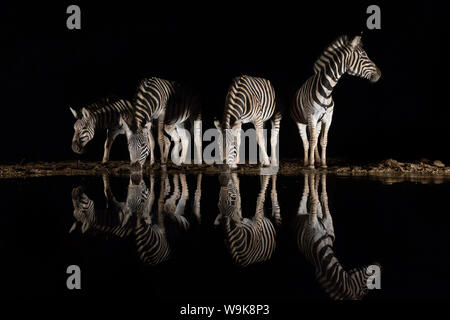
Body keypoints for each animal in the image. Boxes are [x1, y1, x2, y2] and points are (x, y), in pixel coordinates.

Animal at [290, 35, 382, 169]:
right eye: (363, 55)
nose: (380, 73)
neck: (327, 91)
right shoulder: (312, 116)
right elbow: (312, 141)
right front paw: (311, 165)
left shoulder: (328, 118)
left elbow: (323, 141)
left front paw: (323, 164)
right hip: (300, 122)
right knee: (306, 142)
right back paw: (307, 162)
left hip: (317, 123)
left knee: (314, 139)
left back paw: (317, 160)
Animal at [294, 172, 378, 300]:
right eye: (365, 289)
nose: (379, 264)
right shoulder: (312, 223)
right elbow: (315, 199)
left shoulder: (327, 221)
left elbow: (322, 198)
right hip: (302, 212)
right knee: (306, 196)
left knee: (317, 201)